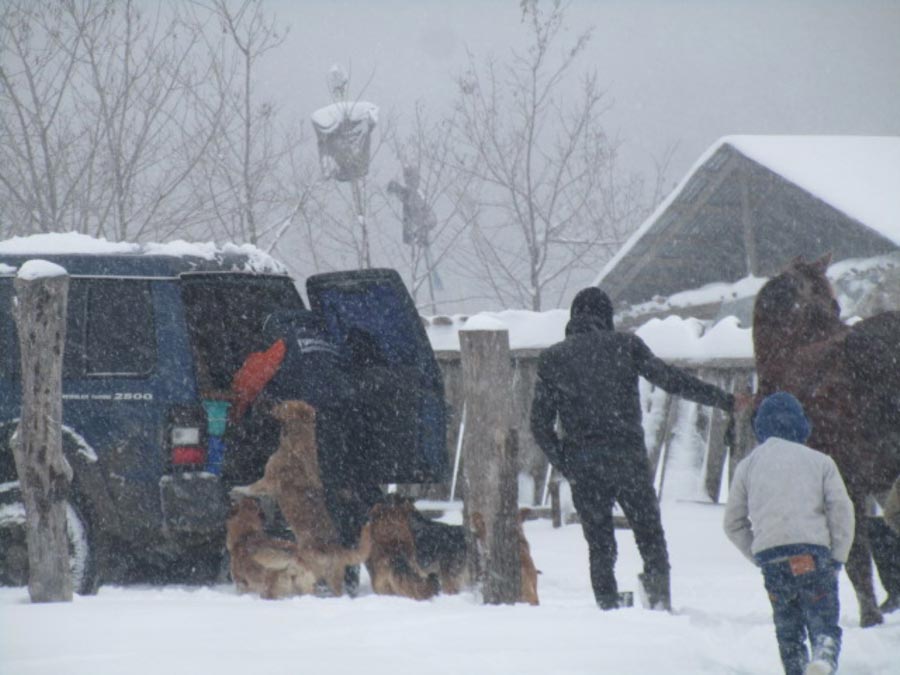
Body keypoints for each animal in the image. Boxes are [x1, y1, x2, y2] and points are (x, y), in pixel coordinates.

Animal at [236, 398, 372, 596]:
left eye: (283, 404)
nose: (268, 403)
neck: (298, 442)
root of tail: (336, 550)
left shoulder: (268, 480)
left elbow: (251, 488)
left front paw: (237, 489)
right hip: (334, 579)